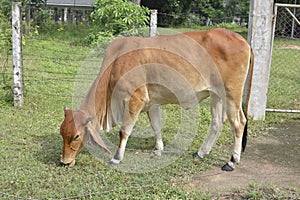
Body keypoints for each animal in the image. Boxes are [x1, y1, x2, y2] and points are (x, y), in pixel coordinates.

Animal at [59, 28, 253, 171]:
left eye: (76, 136)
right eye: (62, 133)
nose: (64, 162)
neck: (115, 63)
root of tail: (242, 40)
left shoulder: (135, 99)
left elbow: (124, 131)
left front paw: (116, 158)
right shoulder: (151, 103)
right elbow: (156, 126)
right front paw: (159, 149)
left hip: (231, 93)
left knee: (238, 123)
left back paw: (231, 161)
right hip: (216, 95)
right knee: (217, 122)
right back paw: (201, 152)